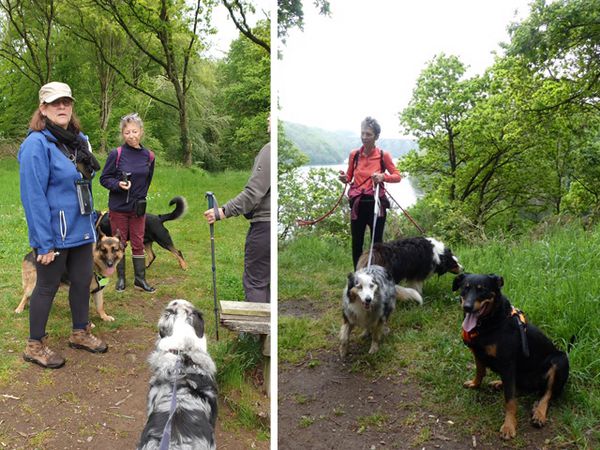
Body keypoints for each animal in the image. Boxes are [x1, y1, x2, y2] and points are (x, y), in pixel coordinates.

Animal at [452, 274, 568, 440]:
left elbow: (510, 401)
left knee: (547, 393)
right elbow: (480, 371)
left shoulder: (507, 363)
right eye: (464, 288)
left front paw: (509, 426)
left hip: (560, 360)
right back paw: (499, 383)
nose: (467, 307)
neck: (491, 322)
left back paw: (539, 413)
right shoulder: (477, 352)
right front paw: (474, 384)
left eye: (483, 290)